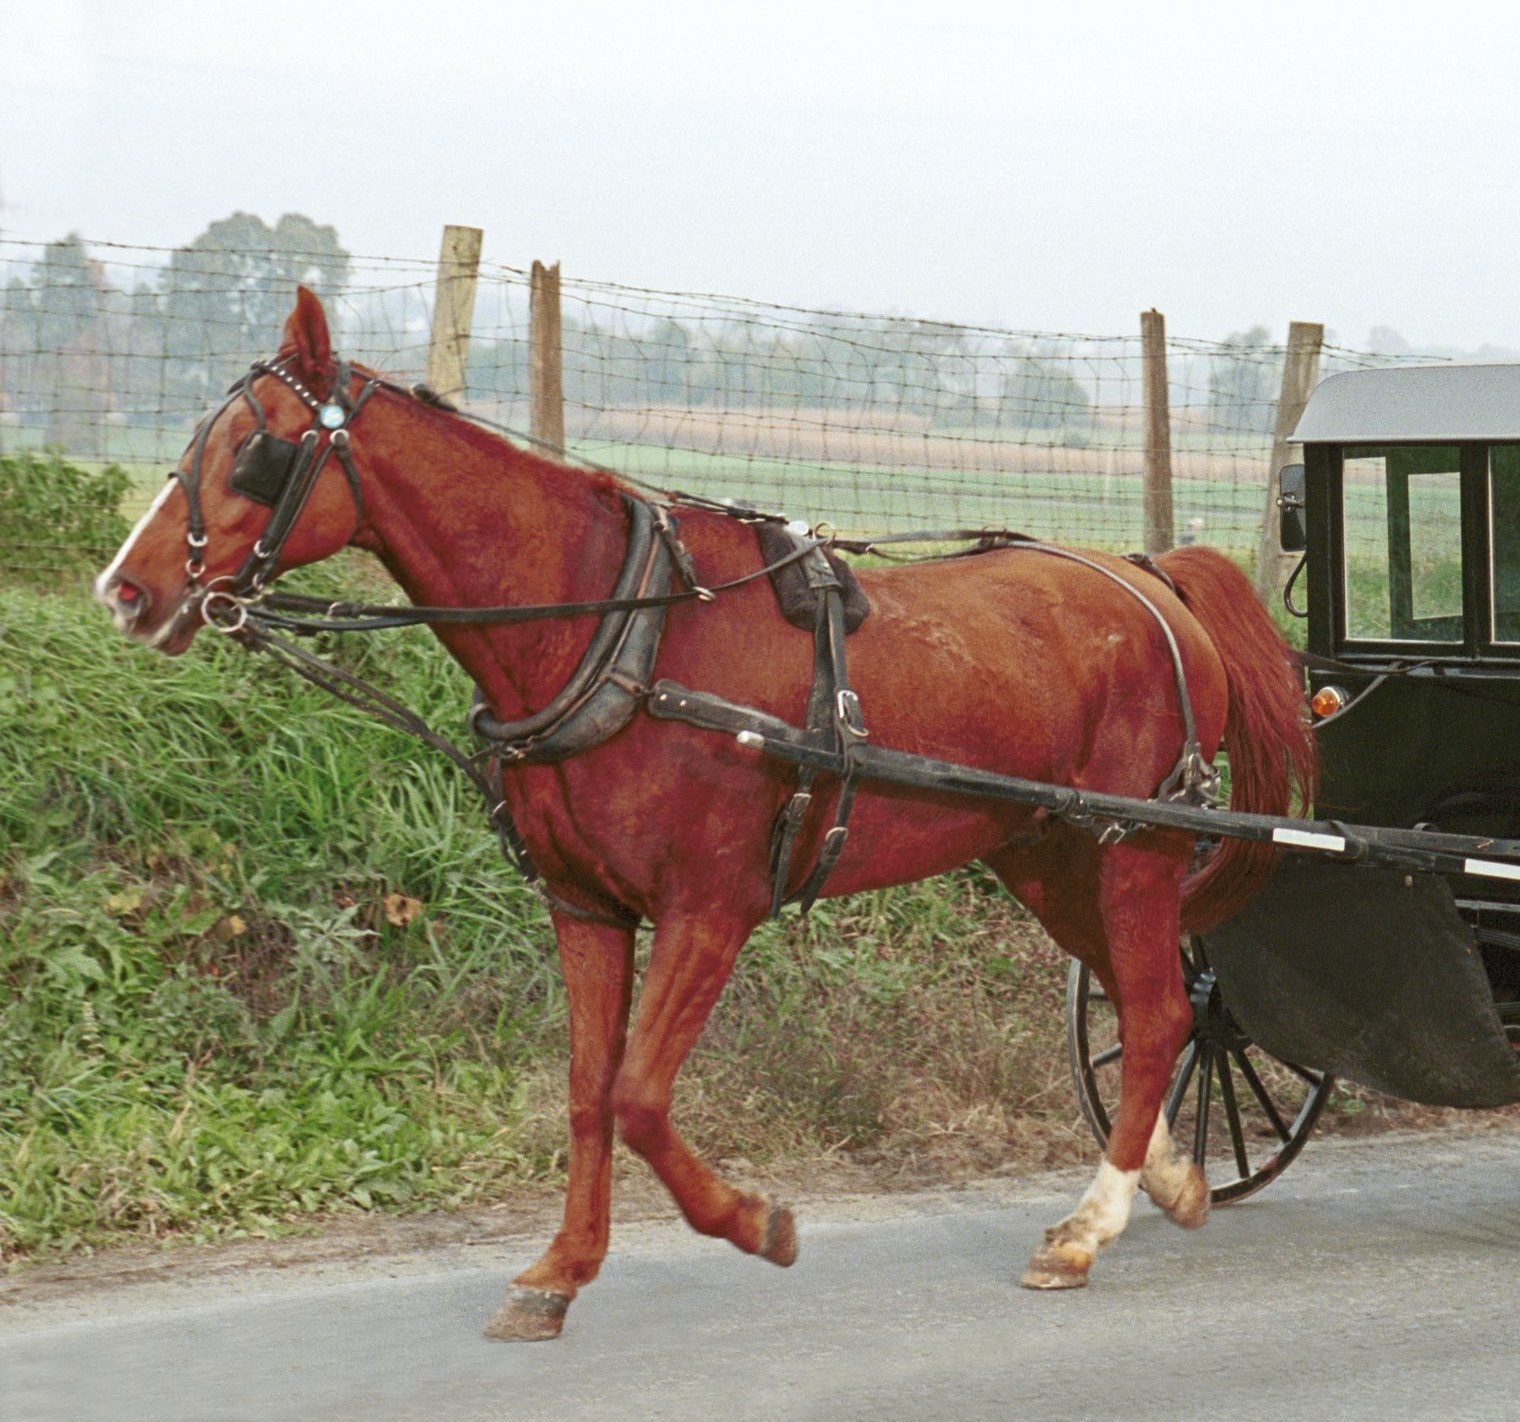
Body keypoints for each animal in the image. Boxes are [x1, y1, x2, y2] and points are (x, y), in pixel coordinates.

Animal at [96, 286, 1315, 1340]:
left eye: (253, 450)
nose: (125, 590)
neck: (618, 626)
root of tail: (1151, 575)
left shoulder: (709, 909)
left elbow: (639, 1096)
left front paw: (754, 1222)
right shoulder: (587, 910)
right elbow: (587, 1093)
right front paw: (557, 1273)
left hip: (1134, 850)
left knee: (1154, 1011)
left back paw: (1087, 1227)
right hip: (1048, 851)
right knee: (1153, 1006)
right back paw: (1169, 1178)